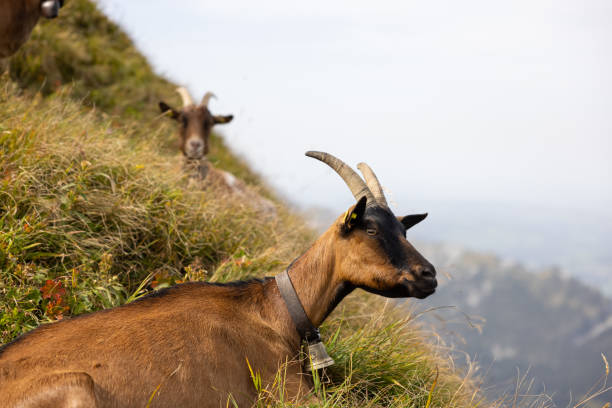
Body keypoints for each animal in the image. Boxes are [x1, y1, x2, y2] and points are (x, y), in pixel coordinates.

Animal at [0, 151, 436, 408]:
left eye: (404, 229)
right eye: (372, 230)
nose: (428, 275)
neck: (277, 311)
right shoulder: (287, 393)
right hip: (77, 387)